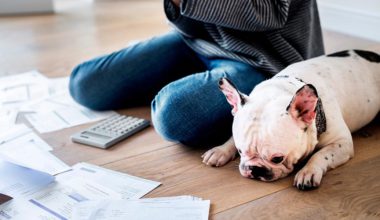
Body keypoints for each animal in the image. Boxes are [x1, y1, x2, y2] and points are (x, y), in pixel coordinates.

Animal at [202, 49, 380, 189]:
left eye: (277, 158)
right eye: (240, 151)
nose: (254, 169)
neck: (284, 88)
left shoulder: (342, 143)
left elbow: (321, 154)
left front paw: (308, 171)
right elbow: (232, 139)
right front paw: (221, 150)